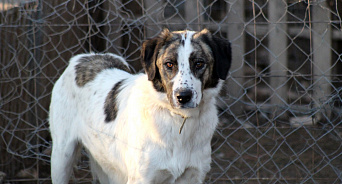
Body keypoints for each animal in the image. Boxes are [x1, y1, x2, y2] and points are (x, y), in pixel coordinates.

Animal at [49, 28, 231, 183]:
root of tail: (84, 57)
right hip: (61, 157)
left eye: (199, 63)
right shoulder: (142, 178)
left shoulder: (193, 175)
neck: (178, 120)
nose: (183, 97)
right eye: (169, 64)